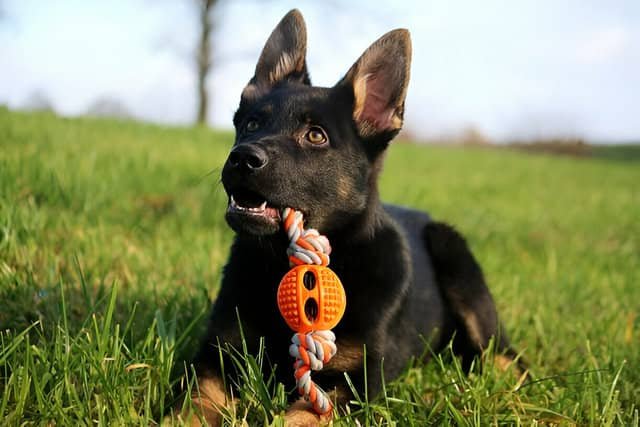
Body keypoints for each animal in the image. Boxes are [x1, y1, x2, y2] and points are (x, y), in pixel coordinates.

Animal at [188, 8, 516, 426]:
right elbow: (194, 405)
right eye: (251, 124)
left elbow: (298, 417)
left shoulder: (351, 382)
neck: (284, 264)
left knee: (505, 355)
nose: (242, 158)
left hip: (454, 256)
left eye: (315, 136)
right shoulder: (218, 356)